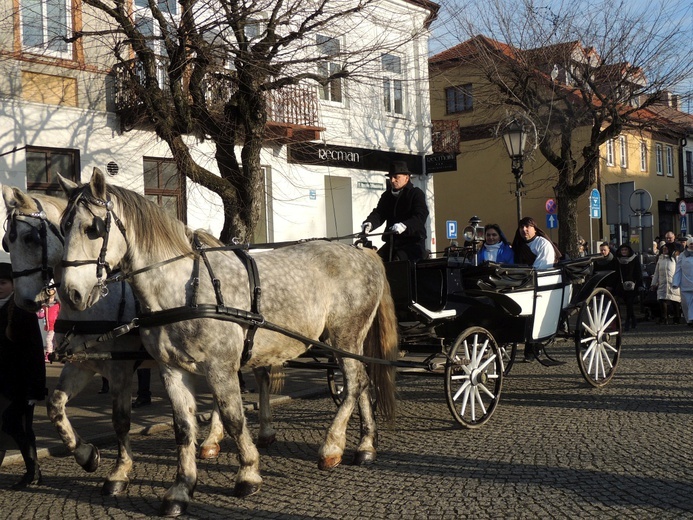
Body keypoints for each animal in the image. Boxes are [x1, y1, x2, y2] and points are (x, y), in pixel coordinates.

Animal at [56, 170, 398, 516]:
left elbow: (233, 417)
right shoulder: (171, 369)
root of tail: (361, 252)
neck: (185, 288)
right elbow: (183, 427)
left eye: (92, 228)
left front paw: (248, 473)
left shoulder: (216, 366)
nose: (71, 294)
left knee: (353, 384)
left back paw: (331, 446)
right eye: (62, 227)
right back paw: (365, 446)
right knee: (363, 382)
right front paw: (181, 488)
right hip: (346, 342)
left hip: (345, 335)